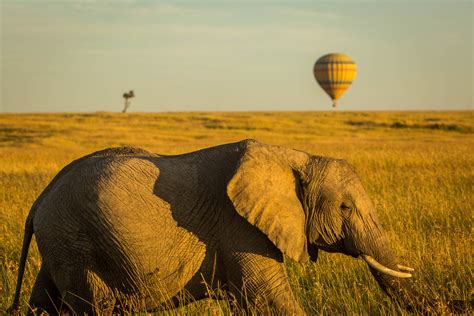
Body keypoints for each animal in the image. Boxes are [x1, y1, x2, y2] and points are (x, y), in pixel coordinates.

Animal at [6, 139, 470, 314]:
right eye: (344, 207)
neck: (295, 155)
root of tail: (39, 200)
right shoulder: (239, 229)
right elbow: (270, 299)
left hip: (61, 247)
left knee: (44, 303)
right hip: (76, 245)